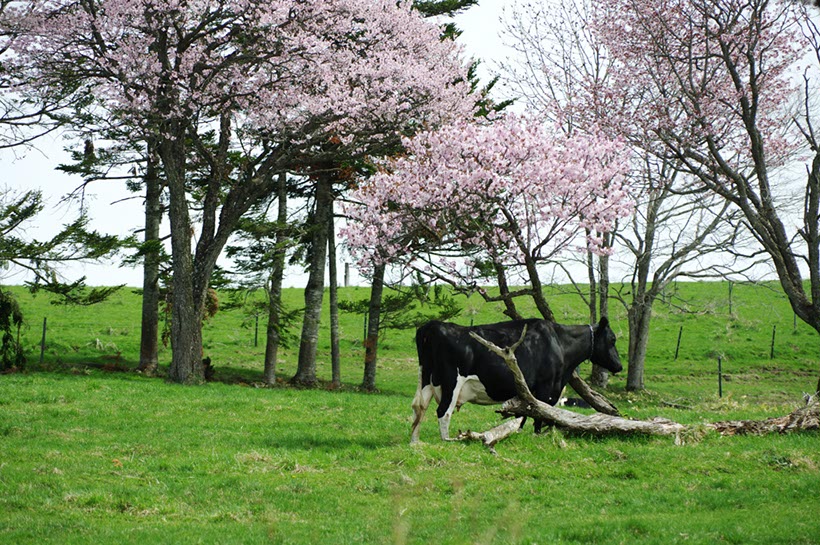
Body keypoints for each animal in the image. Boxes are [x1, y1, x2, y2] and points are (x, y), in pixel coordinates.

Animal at [410, 316, 620, 440]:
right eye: (612, 339)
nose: (619, 366)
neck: (559, 342)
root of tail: (433, 325)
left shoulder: (528, 390)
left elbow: (524, 414)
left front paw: (516, 431)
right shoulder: (546, 387)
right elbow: (540, 415)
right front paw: (537, 436)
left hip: (426, 380)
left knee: (419, 408)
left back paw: (415, 441)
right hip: (451, 382)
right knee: (443, 412)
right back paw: (448, 440)